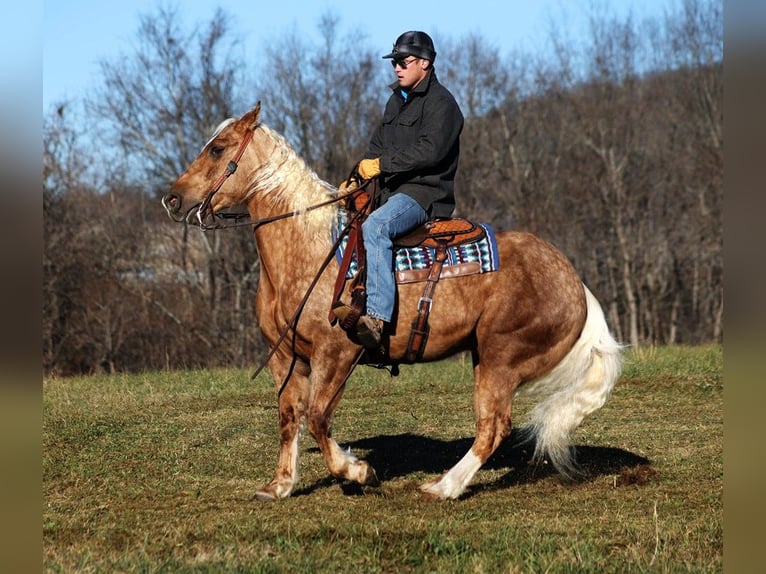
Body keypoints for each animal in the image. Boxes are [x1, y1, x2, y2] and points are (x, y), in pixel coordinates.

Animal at [162, 102, 622, 501]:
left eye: (218, 148)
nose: (172, 199)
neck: (310, 247)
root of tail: (575, 281)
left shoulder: (338, 353)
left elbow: (318, 417)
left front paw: (358, 471)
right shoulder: (286, 357)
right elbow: (290, 417)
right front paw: (280, 486)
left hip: (502, 359)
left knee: (494, 427)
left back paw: (443, 487)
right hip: (484, 356)